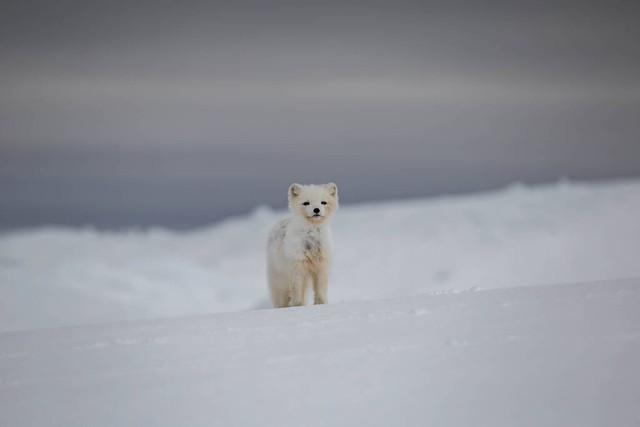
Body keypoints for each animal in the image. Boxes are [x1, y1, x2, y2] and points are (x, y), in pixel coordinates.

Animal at [264, 182, 338, 310]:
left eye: (323, 202)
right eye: (306, 203)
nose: (316, 209)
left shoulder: (321, 266)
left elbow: (320, 288)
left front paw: (321, 304)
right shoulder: (297, 265)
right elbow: (296, 288)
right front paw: (297, 306)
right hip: (280, 279)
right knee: (281, 296)